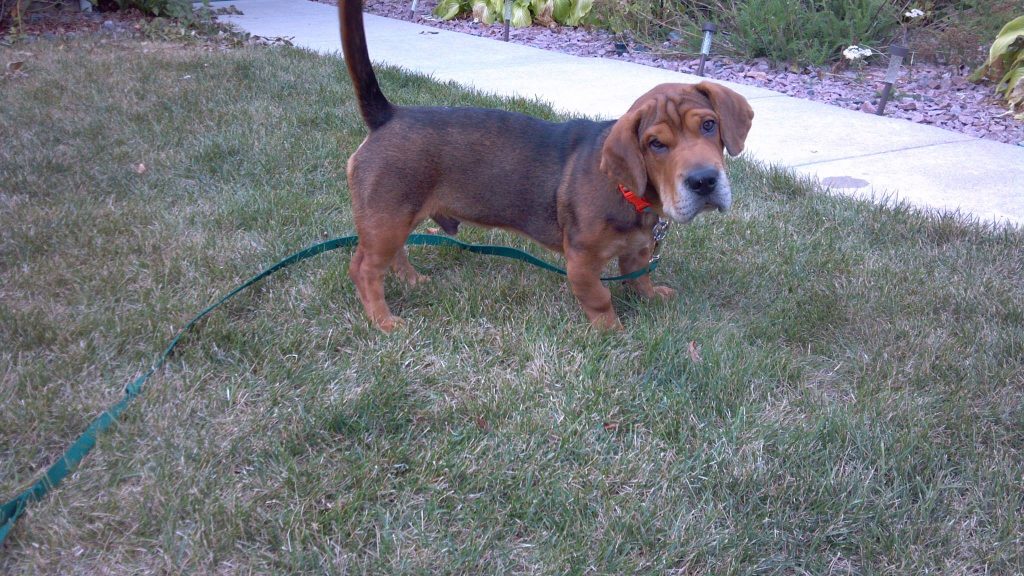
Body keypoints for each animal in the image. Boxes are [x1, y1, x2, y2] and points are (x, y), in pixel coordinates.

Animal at [339, 0, 749, 330]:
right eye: (656, 144)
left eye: (709, 125)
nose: (704, 181)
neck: (629, 192)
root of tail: (388, 116)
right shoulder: (581, 261)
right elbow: (599, 298)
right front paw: (612, 331)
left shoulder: (637, 250)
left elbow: (639, 277)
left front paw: (651, 297)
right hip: (388, 218)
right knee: (364, 269)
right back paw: (383, 320)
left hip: (397, 218)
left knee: (395, 255)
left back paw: (413, 282)